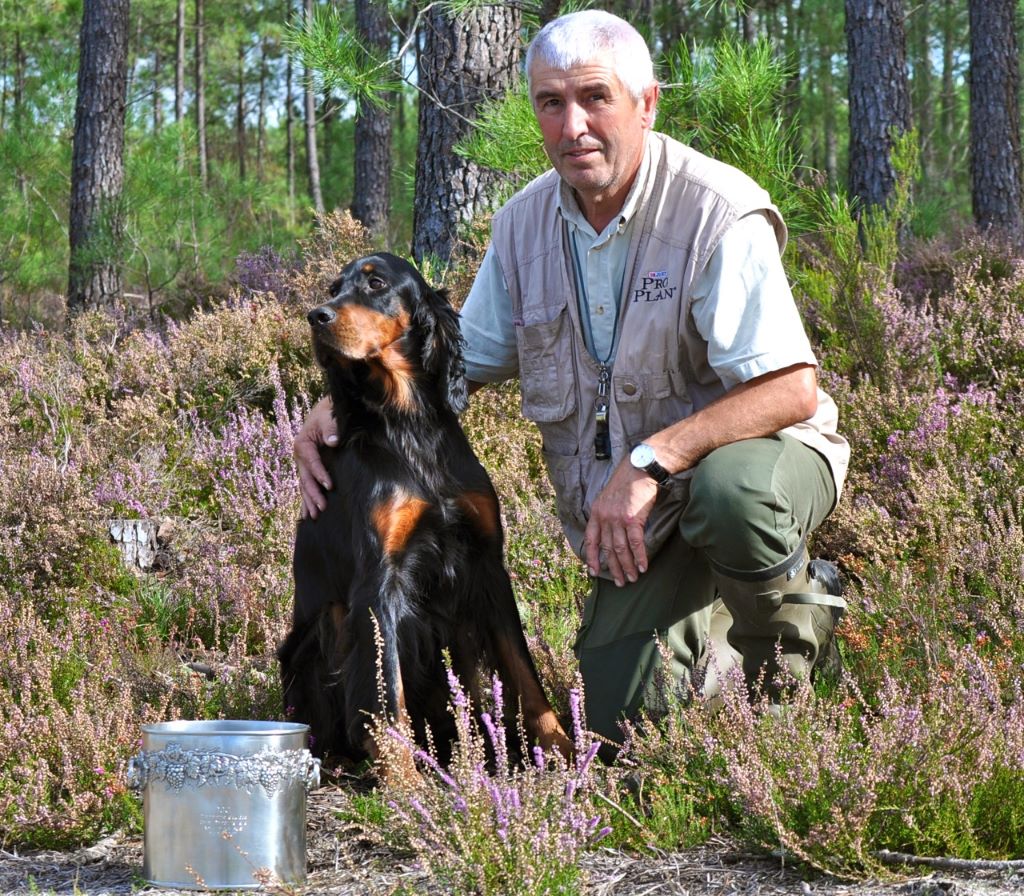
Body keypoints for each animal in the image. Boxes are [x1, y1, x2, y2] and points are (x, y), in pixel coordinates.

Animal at [276, 251, 573, 778]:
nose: (316, 317)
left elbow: (524, 670)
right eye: (333, 288)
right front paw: (404, 779)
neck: (409, 425)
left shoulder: (486, 565)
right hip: (324, 626)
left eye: (375, 283)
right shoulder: (379, 582)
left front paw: (563, 749)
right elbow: (386, 692)